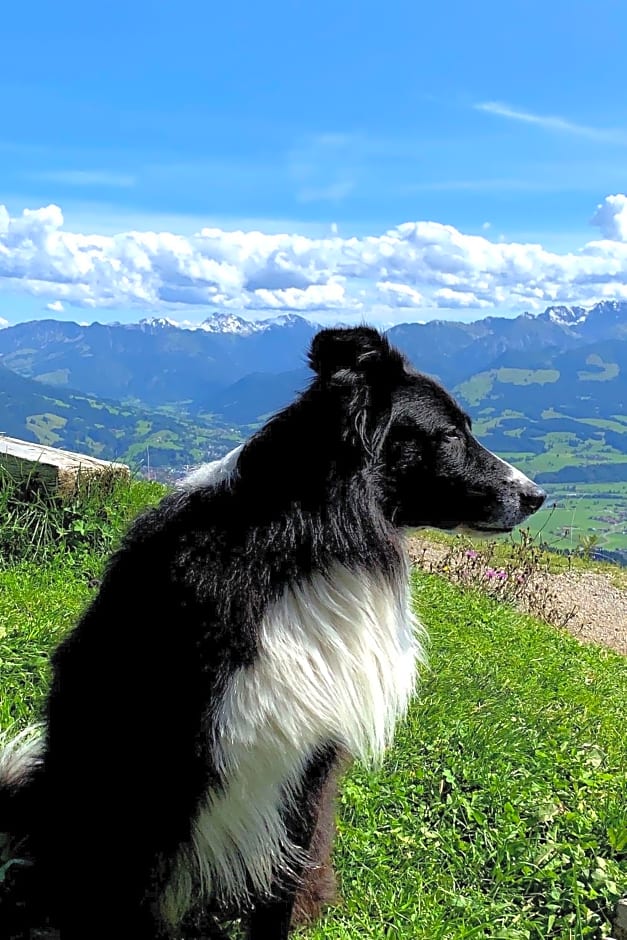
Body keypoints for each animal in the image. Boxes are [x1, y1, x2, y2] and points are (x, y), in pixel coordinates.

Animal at [0, 326, 544, 936]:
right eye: (450, 433)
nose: (537, 496)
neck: (305, 545)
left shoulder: (309, 762)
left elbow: (282, 889)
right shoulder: (167, 762)